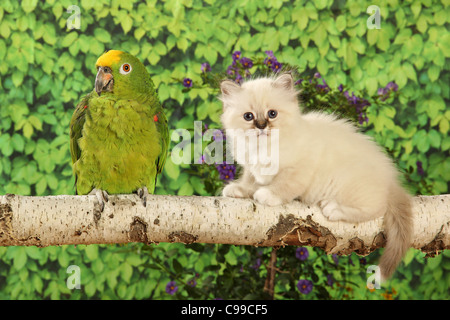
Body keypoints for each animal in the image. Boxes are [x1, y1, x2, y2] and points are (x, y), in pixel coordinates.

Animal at [220, 74, 414, 282]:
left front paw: (266, 195)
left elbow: (282, 186)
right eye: (248, 116)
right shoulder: (252, 169)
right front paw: (237, 190)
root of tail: (391, 179)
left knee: (376, 208)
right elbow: (249, 181)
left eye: (272, 114)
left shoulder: (298, 169)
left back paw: (333, 208)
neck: (262, 149)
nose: (262, 126)